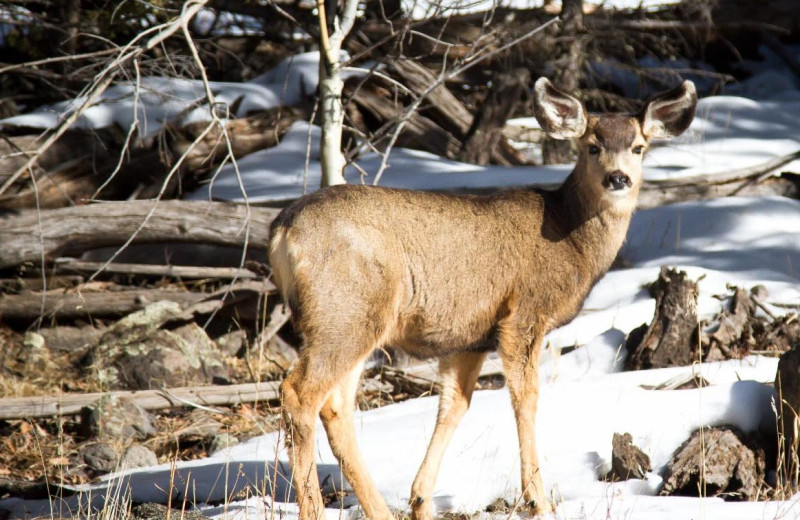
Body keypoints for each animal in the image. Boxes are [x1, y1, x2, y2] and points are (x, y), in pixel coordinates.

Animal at [268, 77, 692, 520]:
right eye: (592, 146)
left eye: (638, 147)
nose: (618, 178)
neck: (569, 238)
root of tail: (282, 230)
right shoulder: (523, 314)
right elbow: (526, 398)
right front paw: (537, 498)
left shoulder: (469, 336)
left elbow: (455, 404)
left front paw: (421, 497)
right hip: (345, 310)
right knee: (300, 392)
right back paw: (315, 508)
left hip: (352, 319)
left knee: (335, 406)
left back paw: (380, 510)